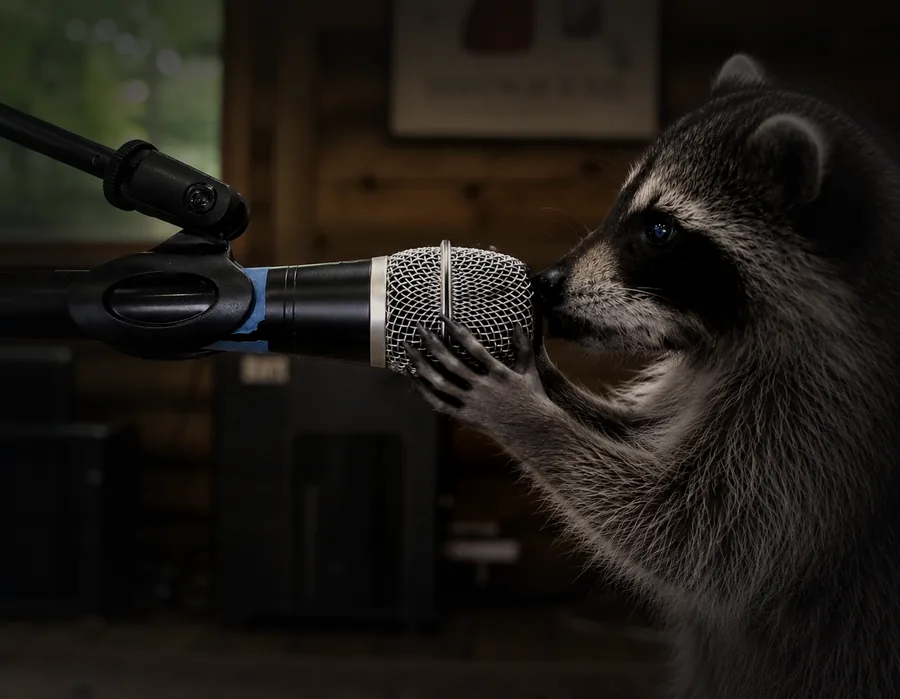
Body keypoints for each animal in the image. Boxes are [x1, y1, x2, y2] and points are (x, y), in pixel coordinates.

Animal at [405, 54, 900, 699]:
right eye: (620, 207)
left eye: (660, 231)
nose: (544, 284)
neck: (720, 341)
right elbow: (641, 439)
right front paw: (534, 371)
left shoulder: (828, 415)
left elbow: (695, 537)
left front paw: (523, 415)